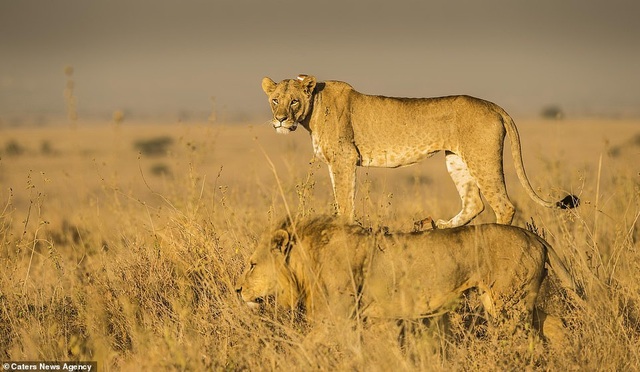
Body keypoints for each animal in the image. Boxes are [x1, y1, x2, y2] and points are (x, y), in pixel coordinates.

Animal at [235, 214, 576, 336]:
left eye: (252, 264)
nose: (237, 290)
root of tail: (534, 236)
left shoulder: (336, 316)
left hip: (509, 303)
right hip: (509, 301)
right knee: (554, 324)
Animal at [262, 74, 580, 228]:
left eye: (293, 101)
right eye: (275, 100)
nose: (280, 119)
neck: (312, 111)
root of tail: (493, 105)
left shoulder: (344, 158)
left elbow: (345, 201)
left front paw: (344, 227)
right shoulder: (335, 162)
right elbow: (341, 200)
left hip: (482, 159)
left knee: (504, 205)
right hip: (456, 160)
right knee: (474, 203)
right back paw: (442, 225)